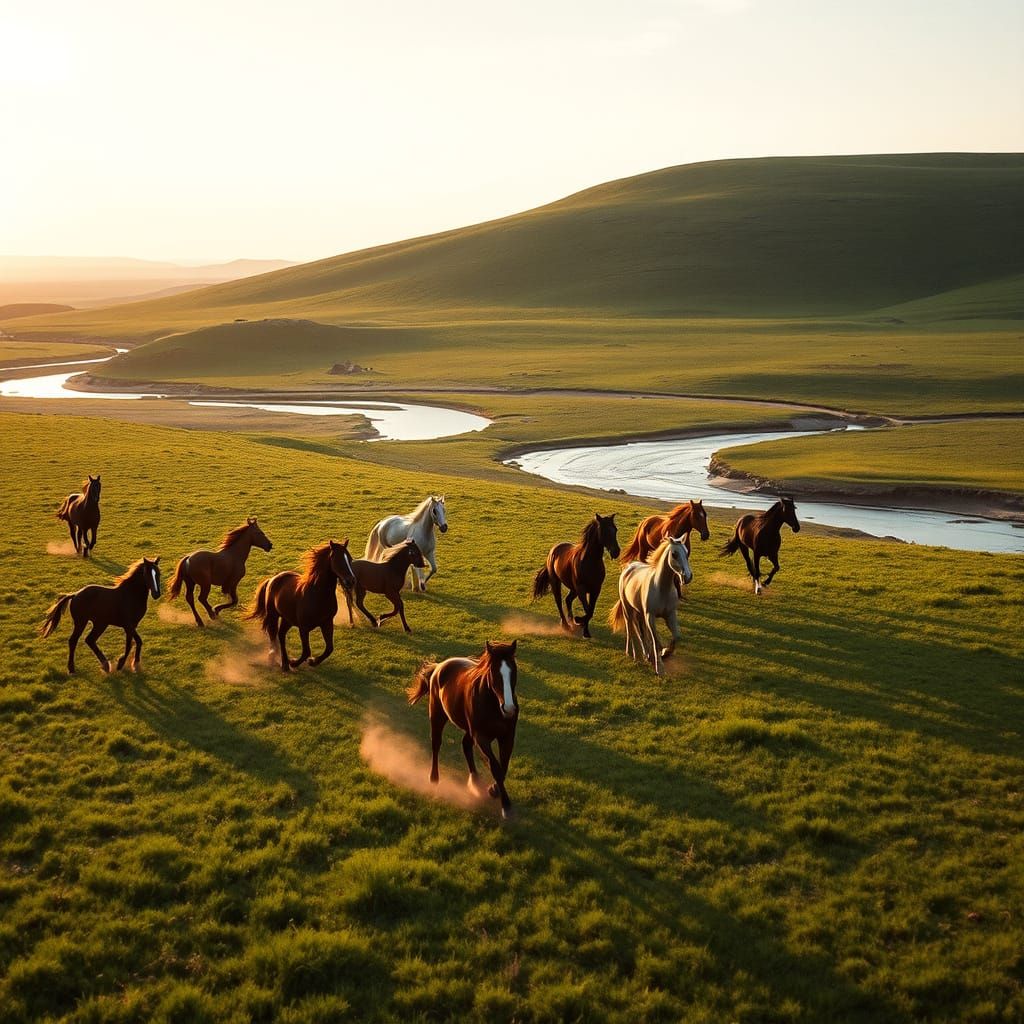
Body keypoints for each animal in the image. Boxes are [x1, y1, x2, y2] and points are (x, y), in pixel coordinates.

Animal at [248, 540, 356, 671]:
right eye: (338, 560)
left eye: (349, 559)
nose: (351, 581)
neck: (318, 594)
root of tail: (272, 579)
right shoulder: (303, 627)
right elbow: (306, 651)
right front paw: (294, 662)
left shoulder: (327, 623)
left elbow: (329, 648)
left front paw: (312, 661)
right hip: (273, 615)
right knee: (274, 635)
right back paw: (281, 662)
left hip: (287, 619)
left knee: (281, 635)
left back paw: (285, 663)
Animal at [407, 639, 519, 820]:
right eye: (494, 672)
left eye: (513, 670)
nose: (509, 708)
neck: (494, 706)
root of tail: (439, 666)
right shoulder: (481, 738)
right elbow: (496, 767)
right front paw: (506, 806)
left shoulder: (507, 737)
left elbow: (503, 767)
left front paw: (493, 790)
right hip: (437, 716)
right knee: (436, 744)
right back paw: (434, 778)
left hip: (468, 729)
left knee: (465, 745)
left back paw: (475, 782)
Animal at [609, 537, 692, 676]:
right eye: (674, 554)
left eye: (686, 553)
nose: (687, 576)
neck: (661, 589)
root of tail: (629, 567)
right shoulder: (650, 616)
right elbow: (655, 640)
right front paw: (660, 668)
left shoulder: (670, 615)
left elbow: (676, 637)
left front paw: (665, 653)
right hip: (628, 610)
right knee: (630, 630)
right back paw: (632, 654)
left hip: (639, 613)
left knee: (640, 632)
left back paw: (646, 655)